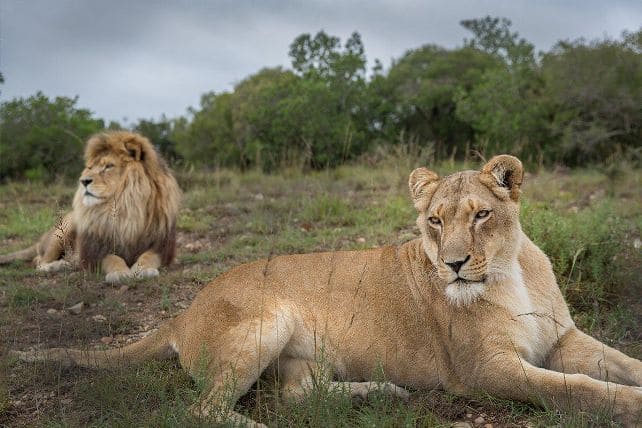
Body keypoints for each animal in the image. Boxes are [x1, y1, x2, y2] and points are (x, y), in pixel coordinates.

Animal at [0, 131, 181, 283]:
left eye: (108, 166)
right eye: (89, 168)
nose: (83, 181)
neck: (126, 209)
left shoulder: (162, 247)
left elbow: (149, 256)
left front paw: (143, 269)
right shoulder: (96, 250)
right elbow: (112, 259)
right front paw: (120, 273)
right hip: (63, 230)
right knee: (39, 260)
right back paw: (53, 266)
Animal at [11, 155, 642, 426]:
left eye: (482, 214)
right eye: (435, 222)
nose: (455, 265)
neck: (509, 272)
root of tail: (183, 312)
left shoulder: (562, 340)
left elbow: (619, 362)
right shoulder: (485, 371)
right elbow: (576, 390)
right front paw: (628, 406)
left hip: (305, 357)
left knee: (297, 394)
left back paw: (383, 392)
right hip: (265, 322)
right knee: (203, 410)